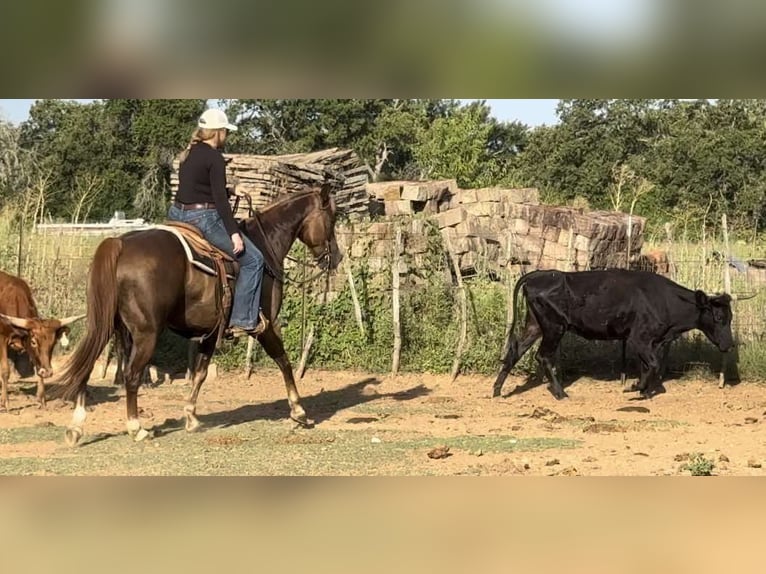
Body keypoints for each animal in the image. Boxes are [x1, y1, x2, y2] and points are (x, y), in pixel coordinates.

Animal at [52, 184, 343, 446]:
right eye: (332, 218)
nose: (337, 258)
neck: (265, 243)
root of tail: (120, 243)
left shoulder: (210, 331)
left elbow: (201, 372)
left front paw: (191, 417)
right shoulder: (266, 325)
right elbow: (283, 361)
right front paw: (299, 411)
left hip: (107, 326)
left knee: (88, 366)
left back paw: (76, 427)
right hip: (146, 334)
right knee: (131, 374)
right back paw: (137, 428)